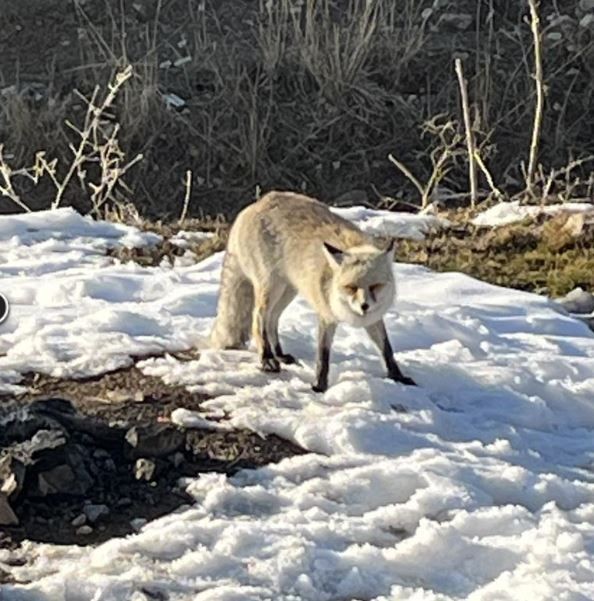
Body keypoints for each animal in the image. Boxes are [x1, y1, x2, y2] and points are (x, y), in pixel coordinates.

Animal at [210, 190, 414, 392]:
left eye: (375, 286)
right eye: (351, 287)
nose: (364, 306)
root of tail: (255, 205)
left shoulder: (374, 318)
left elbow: (387, 350)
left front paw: (398, 376)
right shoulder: (326, 315)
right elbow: (323, 357)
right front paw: (319, 386)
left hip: (288, 290)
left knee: (272, 319)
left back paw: (279, 354)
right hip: (271, 287)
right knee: (258, 318)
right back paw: (267, 357)